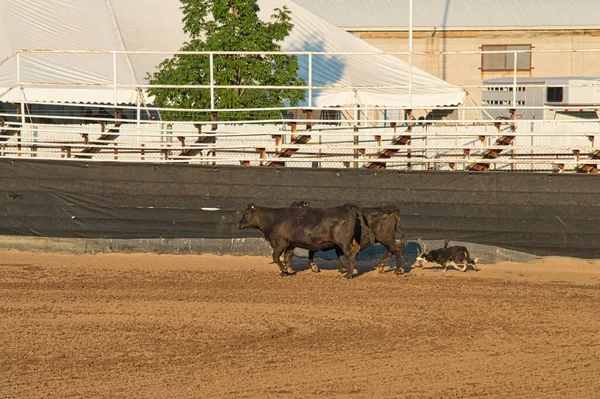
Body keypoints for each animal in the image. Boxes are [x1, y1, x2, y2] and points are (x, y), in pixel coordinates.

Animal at [238, 203, 376, 278]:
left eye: (246, 213)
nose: (239, 224)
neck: (273, 219)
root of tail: (345, 208)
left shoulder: (281, 243)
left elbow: (276, 257)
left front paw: (284, 270)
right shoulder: (290, 244)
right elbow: (287, 258)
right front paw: (287, 271)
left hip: (344, 242)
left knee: (350, 254)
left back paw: (348, 275)